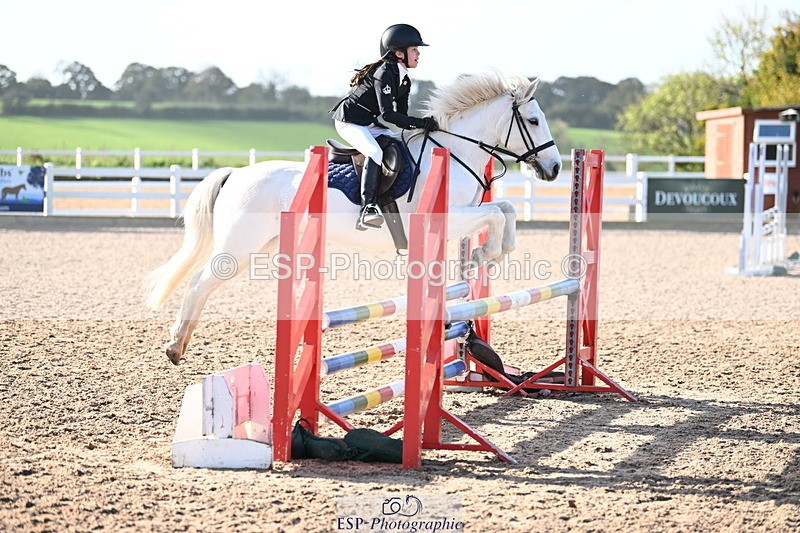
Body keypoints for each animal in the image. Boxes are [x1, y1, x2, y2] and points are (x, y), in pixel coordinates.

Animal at [144, 72, 562, 365]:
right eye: (533, 121)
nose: (556, 168)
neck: (454, 153)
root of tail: (237, 173)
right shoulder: (451, 216)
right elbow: (497, 213)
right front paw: (483, 255)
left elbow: (505, 211)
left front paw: (485, 257)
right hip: (239, 245)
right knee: (199, 282)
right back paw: (175, 346)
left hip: (259, 245)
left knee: (205, 284)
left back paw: (179, 344)